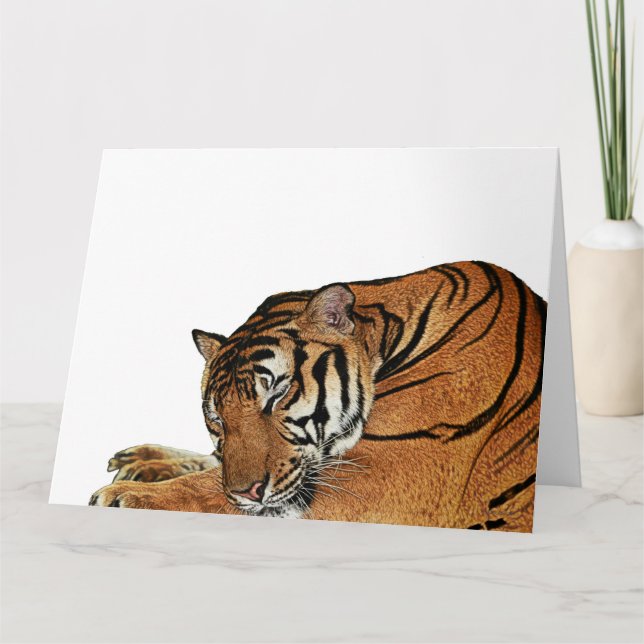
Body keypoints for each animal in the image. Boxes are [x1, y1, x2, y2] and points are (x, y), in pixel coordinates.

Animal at [90, 261, 546, 532]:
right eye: (216, 418)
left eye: (277, 393)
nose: (247, 493)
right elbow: (213, 465)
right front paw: (143, 462)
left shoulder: (381, 475)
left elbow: (207, 488)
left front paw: (123, 495)